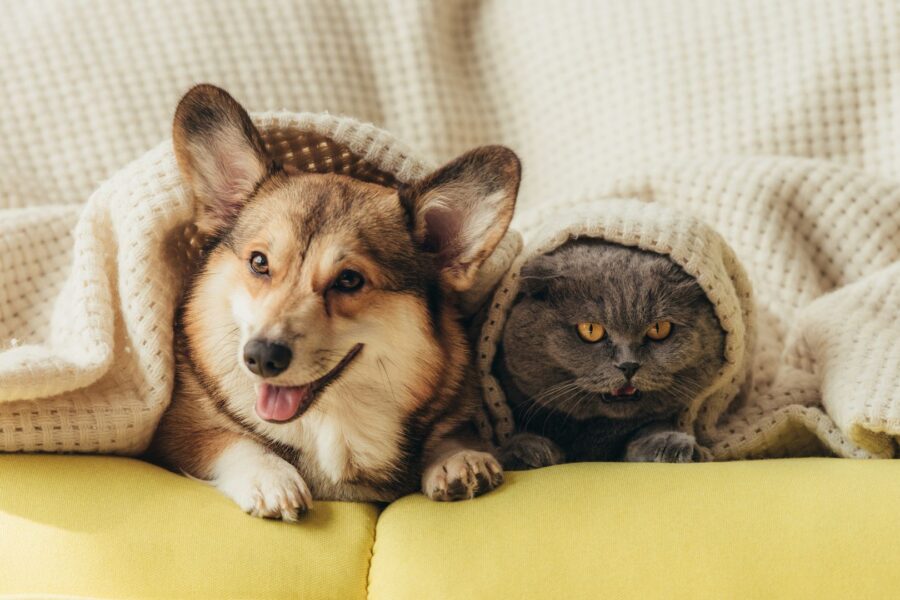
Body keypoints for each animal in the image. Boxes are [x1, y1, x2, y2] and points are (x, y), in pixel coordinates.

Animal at [149, 85, 520, 520]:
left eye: (349, 280)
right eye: (259, 262)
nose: (260, 357)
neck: (333, 422)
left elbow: (453, 433)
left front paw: (458, 458)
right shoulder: (177, 432)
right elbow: (230, 440)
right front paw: (271, 478)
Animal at [496, 239, 728, 468]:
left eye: (659, 328)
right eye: (590, 330)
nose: (628, 365)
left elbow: (650, 426)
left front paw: (674, 444)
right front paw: (527, 450)